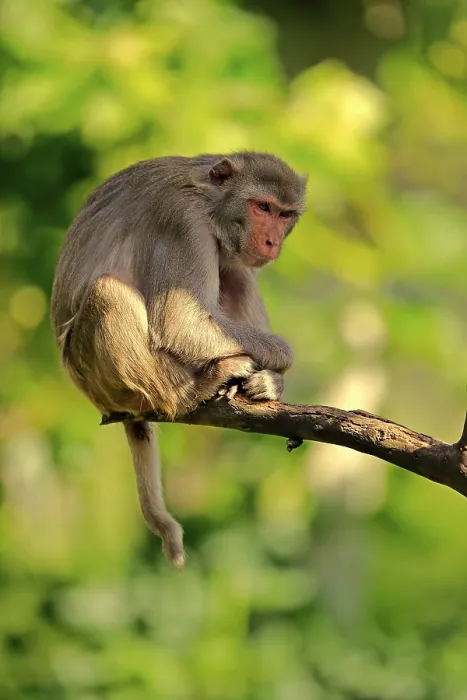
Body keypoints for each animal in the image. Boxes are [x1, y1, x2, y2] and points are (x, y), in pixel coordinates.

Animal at [51, 152, 307, 568]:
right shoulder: (183, 222)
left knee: (234, 273)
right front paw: (282, 357)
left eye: (285, 215)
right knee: (108, 292)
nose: (271, 241)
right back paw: (189, 391)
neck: (211, 202)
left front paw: (271, 381)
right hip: (97, 374)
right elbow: (179, 320)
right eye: (262, 207)